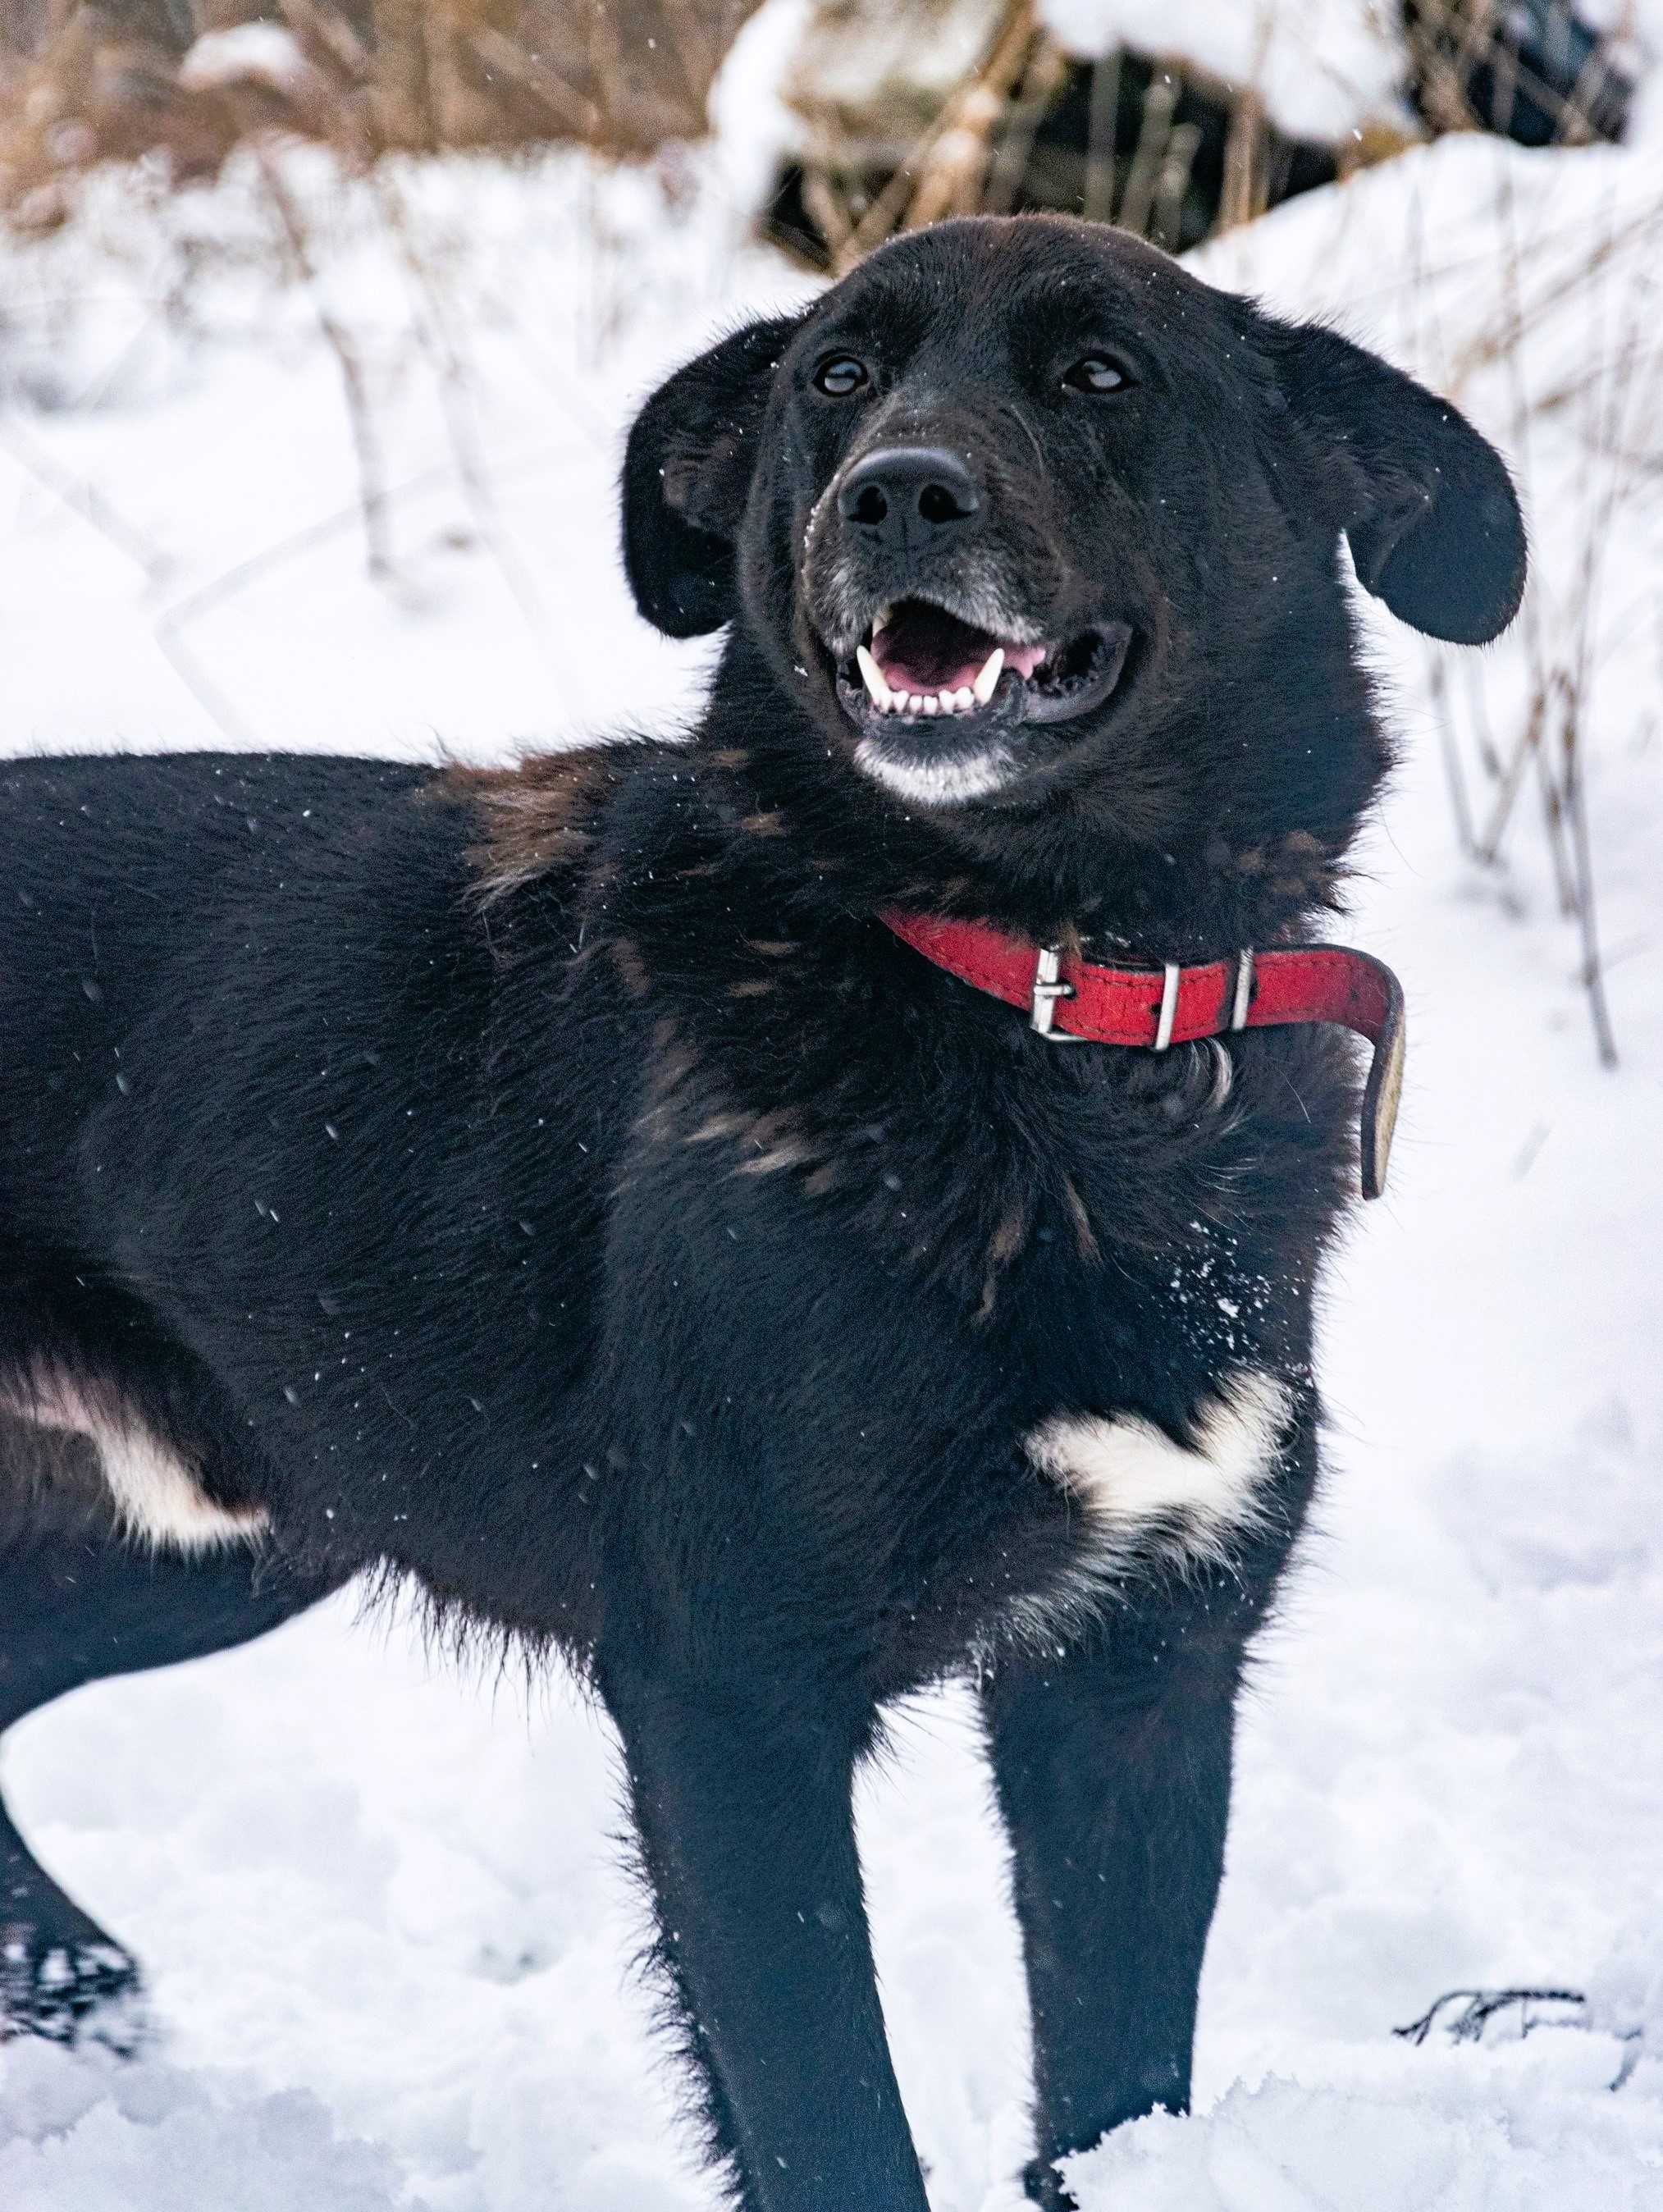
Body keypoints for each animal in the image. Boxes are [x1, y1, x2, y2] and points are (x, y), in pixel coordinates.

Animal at [0, 215, 1521, 2203]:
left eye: (1099, 372)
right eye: (836, 377)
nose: (897, 495)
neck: (1053, 996)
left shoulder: (1135, 1677)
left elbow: (1114, 2090)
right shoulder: (731, 1701)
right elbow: (828, 2121)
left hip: (215, 1524)